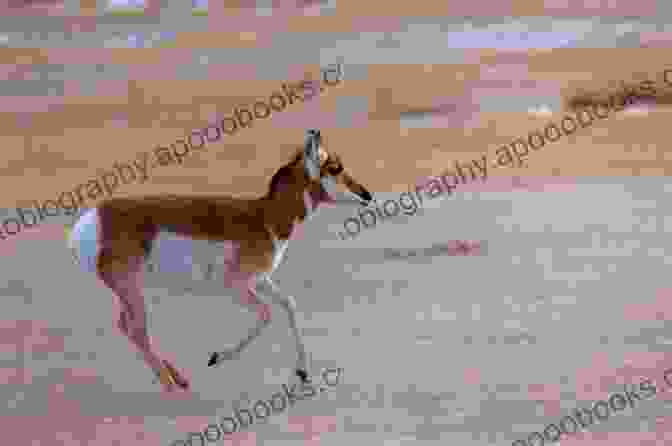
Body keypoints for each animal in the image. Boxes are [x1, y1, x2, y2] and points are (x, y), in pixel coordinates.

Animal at [67, 129, 372, 390]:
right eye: (335, 167)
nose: (367, 195)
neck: (265, 217)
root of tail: (89, 221)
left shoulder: (261, 280)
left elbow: (289, 305)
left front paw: (303, 372)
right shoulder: (236, 286)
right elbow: (266, 314)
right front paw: (217, 357)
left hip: (129, 290)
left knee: (125, 326)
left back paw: (177, 378)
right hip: (131, 289)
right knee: (137, 330)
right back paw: (171, 385)